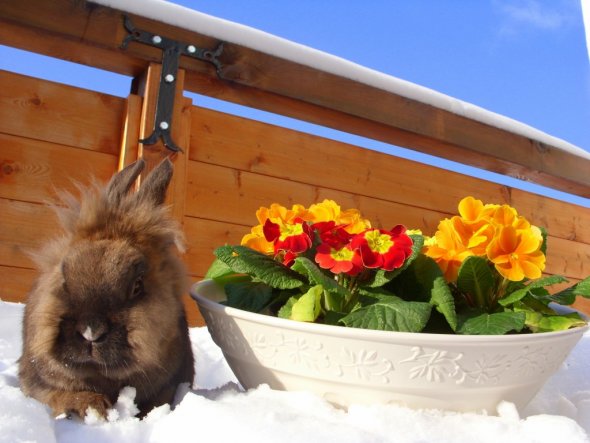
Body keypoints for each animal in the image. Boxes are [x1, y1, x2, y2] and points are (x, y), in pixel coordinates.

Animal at [17, 160, 194, 420]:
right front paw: (93, 408)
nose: (91, 332)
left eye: (137, 286)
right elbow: (60, 395)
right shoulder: (38, 384)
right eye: (64, 277)